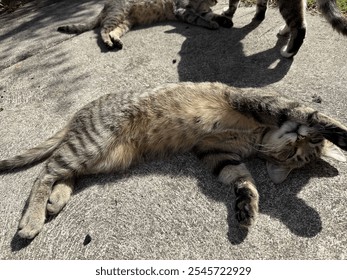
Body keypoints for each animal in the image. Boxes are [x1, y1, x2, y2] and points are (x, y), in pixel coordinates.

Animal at [1, 82, 346, 240]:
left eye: (294, 155)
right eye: (301, 145)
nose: (299, 137)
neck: (259, 134)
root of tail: (77, 115)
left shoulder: (215, 153)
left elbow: (243, 180)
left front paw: (247, 206)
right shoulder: (255, 101)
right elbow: (308, 112)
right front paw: (338, 132)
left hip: (108, 157)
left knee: (64, 173)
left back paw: (56, 200)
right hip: (93, 144)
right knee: (45, 172)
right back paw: (32, 218)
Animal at [57, 0, 232, 49]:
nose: (217, 1)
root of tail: (105, 6)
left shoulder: (202, 10)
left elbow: (211, 15)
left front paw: (225, 20)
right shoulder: (182, 10)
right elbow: (199, 19)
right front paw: (212, 24)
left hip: (125, 23)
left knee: (114, 31)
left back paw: (117, 41)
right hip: (118, 14)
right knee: (103, 31)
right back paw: (108, 42)